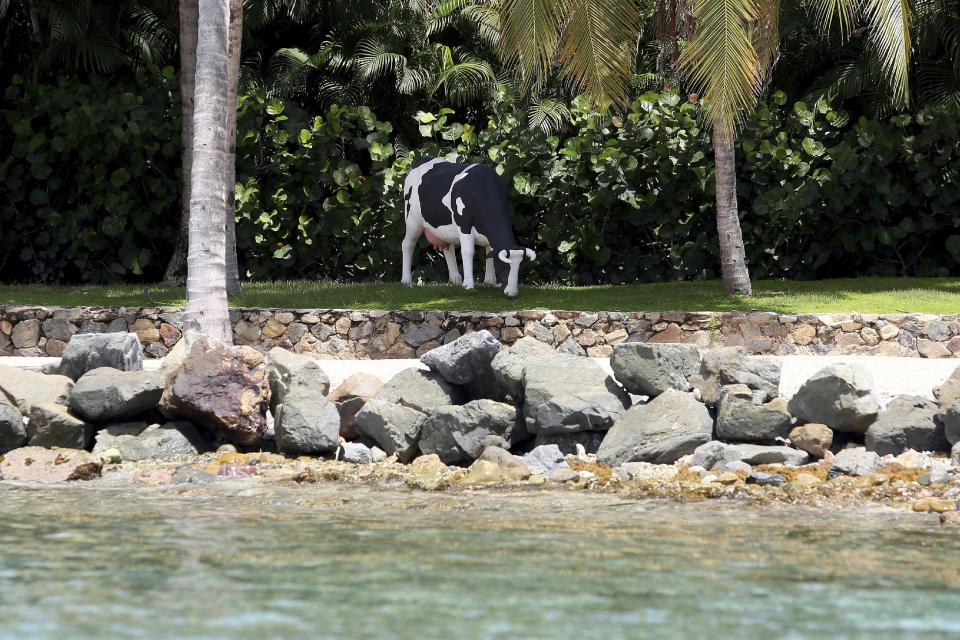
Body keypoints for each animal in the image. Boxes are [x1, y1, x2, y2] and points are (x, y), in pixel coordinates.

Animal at [398, 156, 532, 296]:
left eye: (519, 266)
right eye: (505, 266)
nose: (512, 292)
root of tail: (423, 159)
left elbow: (489, 252)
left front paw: (490, 282)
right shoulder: (464, 225)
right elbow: (468, 252)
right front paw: (468, 285)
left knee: (447, 247)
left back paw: (455, 279)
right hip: (412, 221)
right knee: (407, 245)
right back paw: (406, 281)